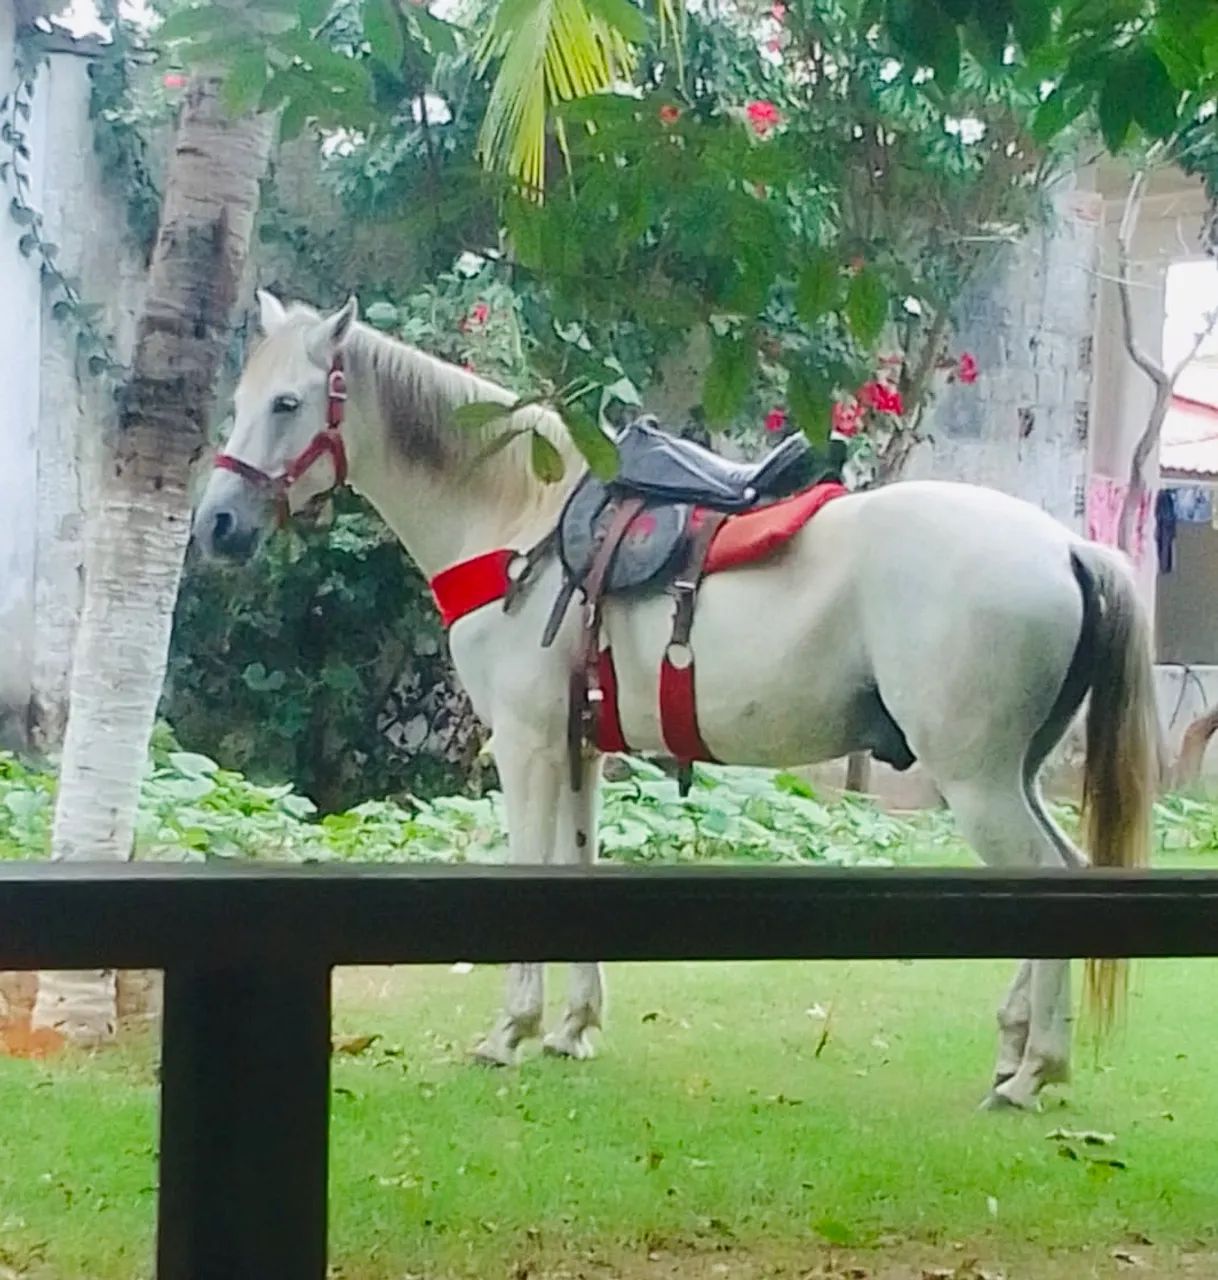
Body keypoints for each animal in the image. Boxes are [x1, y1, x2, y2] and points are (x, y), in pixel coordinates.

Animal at [191, 290, 1158, 1110]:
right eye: (240, 399)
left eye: (287, 403)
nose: (217, 526)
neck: (518, 521)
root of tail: (1066, 546)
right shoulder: (579, 747)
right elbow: (577, 865)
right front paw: (573, 1027)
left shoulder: (527, 743)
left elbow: (533, 867)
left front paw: (510, 1031)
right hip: (1013, 775)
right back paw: (1018, 1050)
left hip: (977, 781)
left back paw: (1034, 1071)